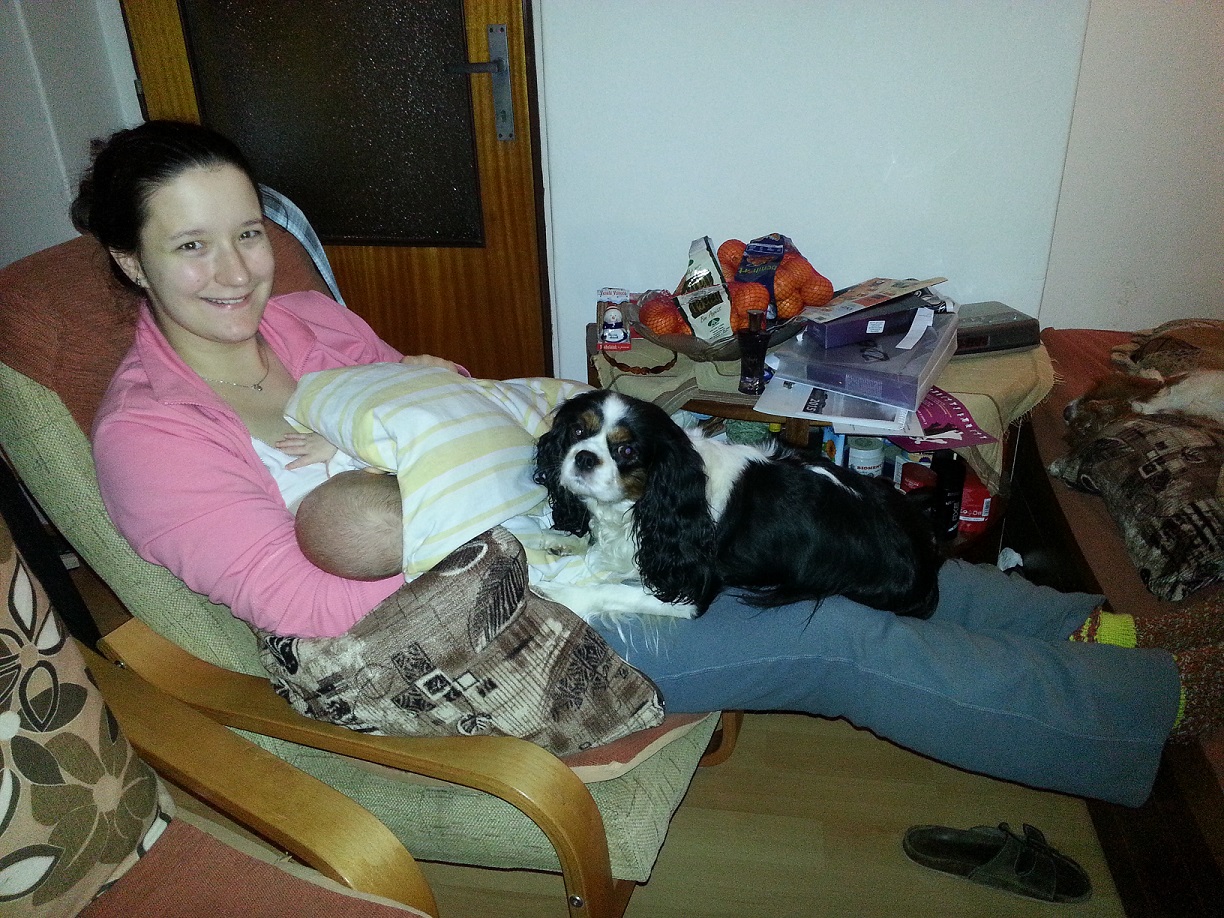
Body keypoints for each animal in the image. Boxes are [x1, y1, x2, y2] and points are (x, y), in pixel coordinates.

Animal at [532, 389, 943, 622]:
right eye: (577, 431)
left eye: (627, 451)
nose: (584, 457)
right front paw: (564, 539)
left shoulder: (689, 588)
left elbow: (613, 590)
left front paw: (559, 595)